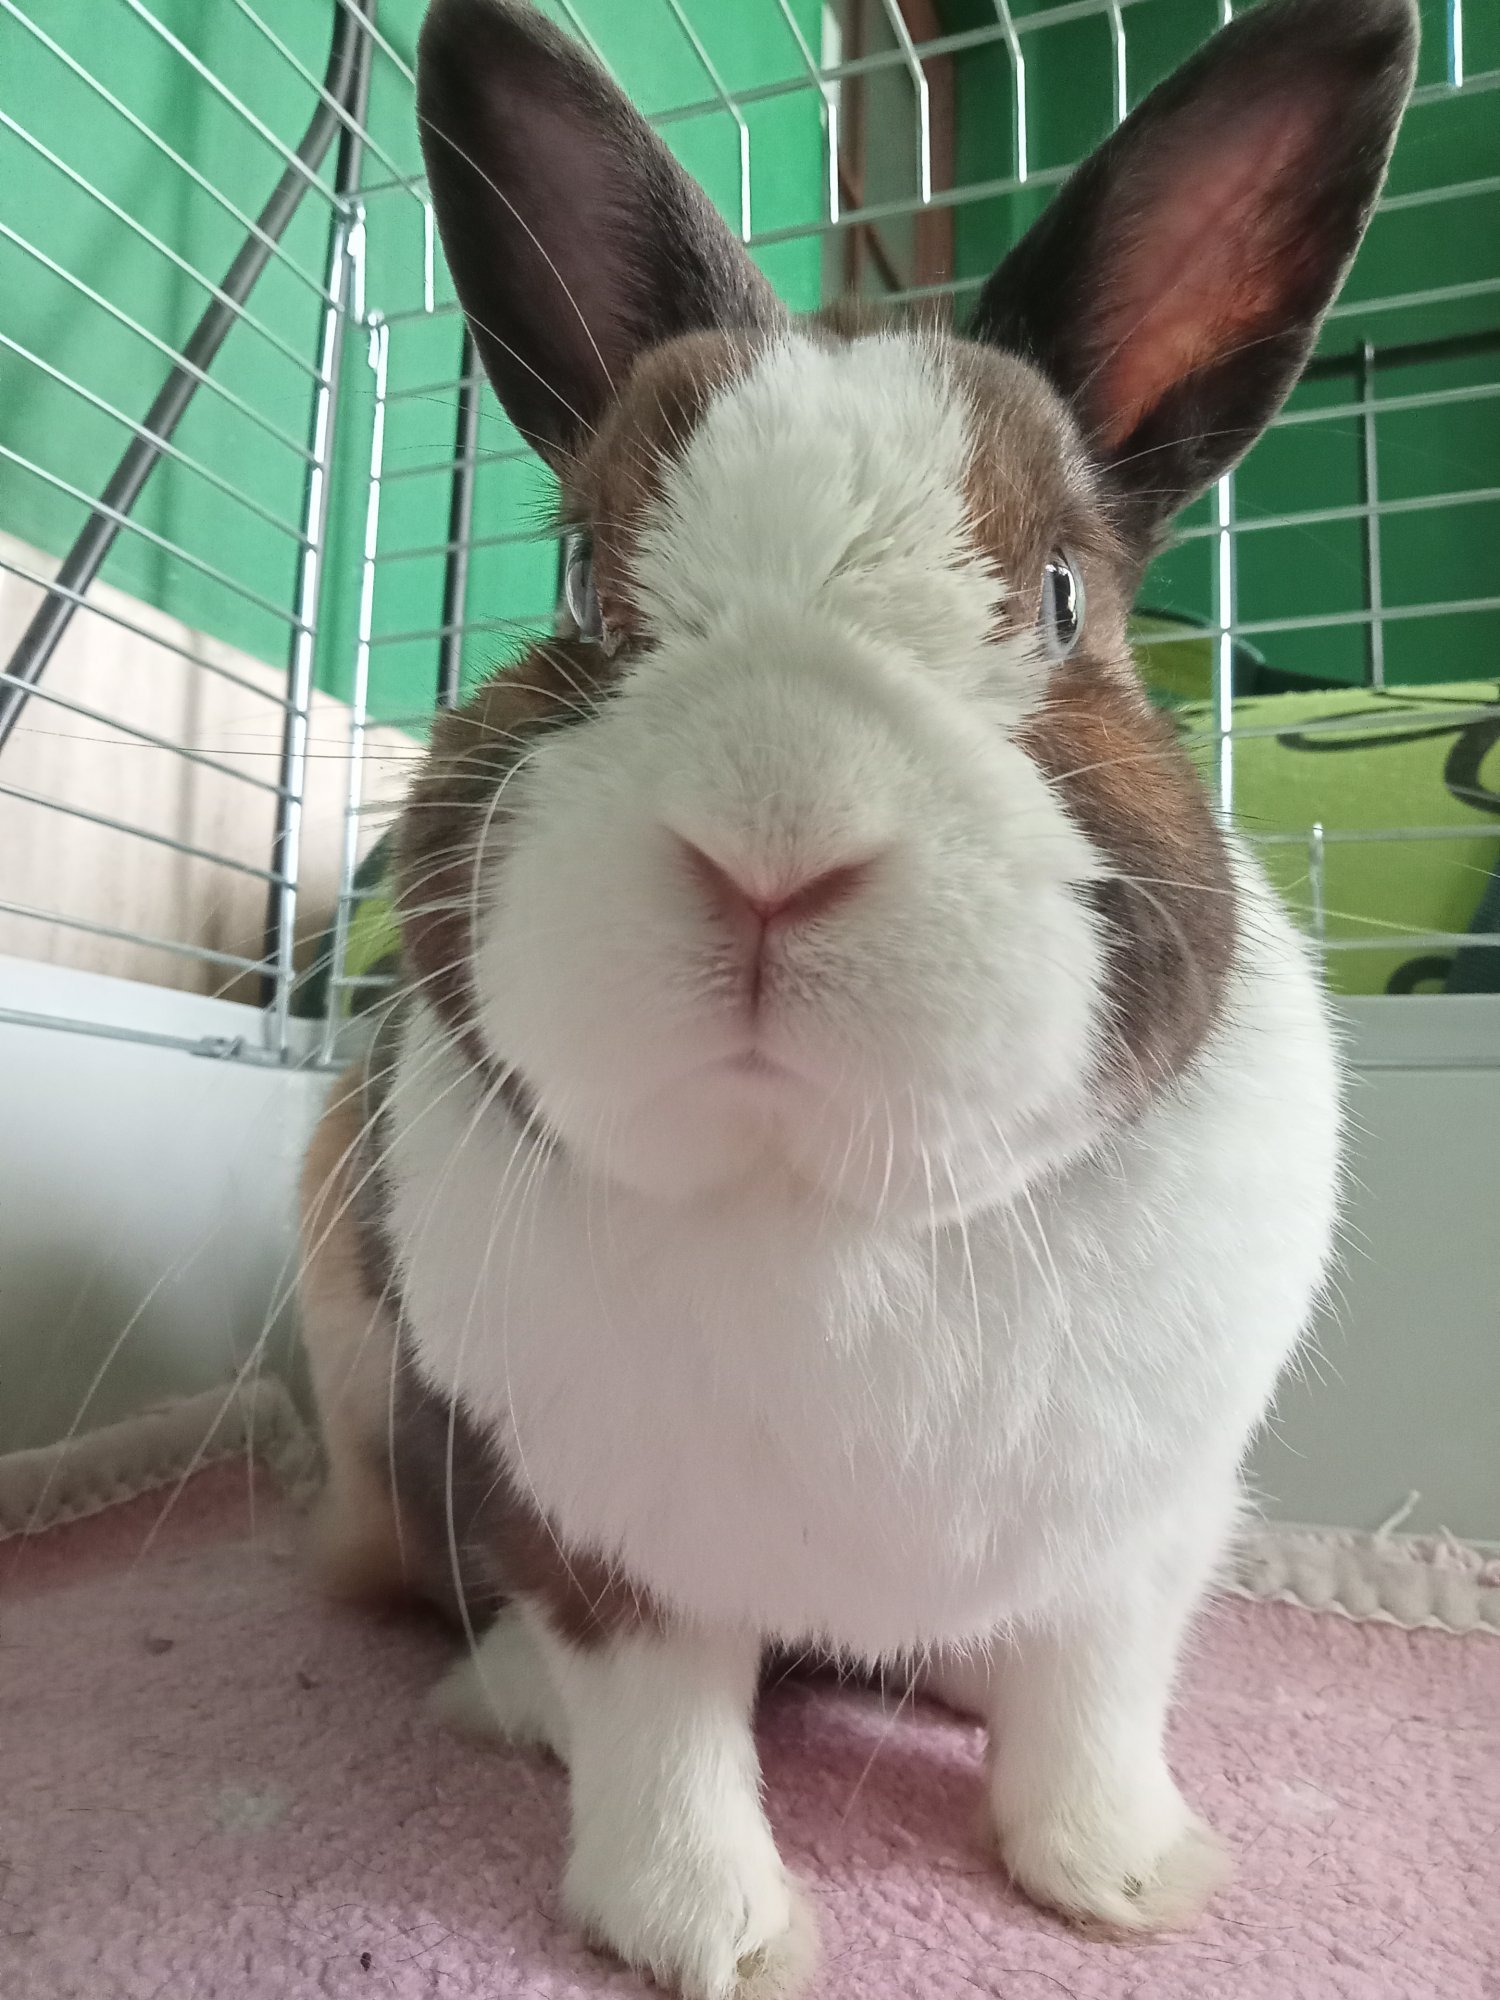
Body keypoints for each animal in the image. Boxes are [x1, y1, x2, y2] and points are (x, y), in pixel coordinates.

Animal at [298, 0, 1418, 1993]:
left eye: (1062, 600)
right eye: (580, 578)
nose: (774, 834)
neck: (827, 1206)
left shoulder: (1137, 1535)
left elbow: (1095, 1704)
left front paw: (1125, 1881)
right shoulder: (590, 1531)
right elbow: (662, 1729)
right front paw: (710, 1935)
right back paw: (510, 1708)